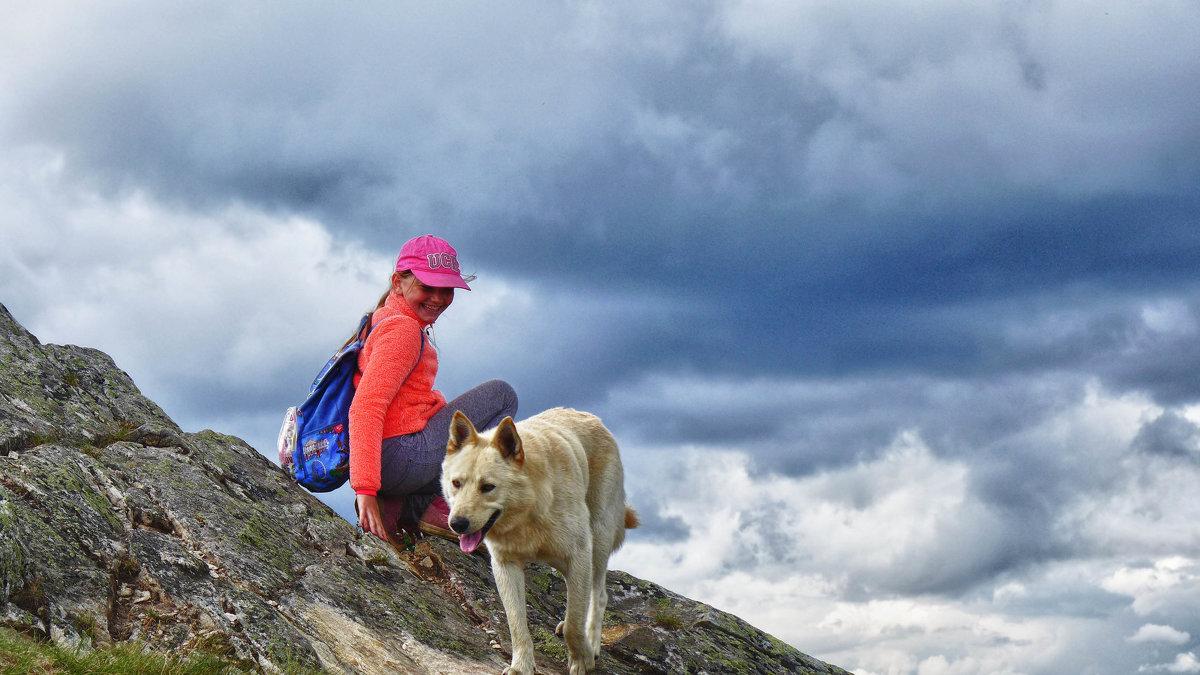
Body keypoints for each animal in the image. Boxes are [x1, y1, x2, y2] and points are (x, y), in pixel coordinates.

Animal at [441, 408, 638, 672]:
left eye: (488, 487)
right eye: (456, 483)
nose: (457, 524)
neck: (527, 511)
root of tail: (591, 417)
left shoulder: (578, 555)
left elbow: (575, 624)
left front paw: (582, 658)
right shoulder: (506, 566)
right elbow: (516, 623)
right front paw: (521, 666)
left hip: (598, 542)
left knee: (598, 596)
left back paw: (592, 642)